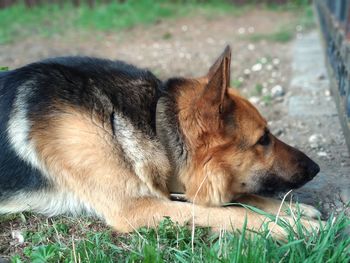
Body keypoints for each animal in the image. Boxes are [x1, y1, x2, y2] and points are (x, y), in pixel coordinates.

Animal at [0, 47, 322, 239]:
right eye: (263, 139)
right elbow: (229, 212)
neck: (154, 125)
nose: (317, 168)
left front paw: (293, 210)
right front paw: (298, 227)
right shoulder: (135, 207)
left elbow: (243, 198)